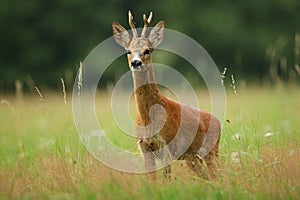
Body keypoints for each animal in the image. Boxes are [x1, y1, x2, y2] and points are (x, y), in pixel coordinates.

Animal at [112, 10, 220, 179]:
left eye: (147, 50)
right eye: (128, 51)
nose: (135, 62)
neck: (148, 120)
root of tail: (220, 123)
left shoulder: (167, 145)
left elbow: (167, 178)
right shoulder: (144, 147)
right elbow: (152, 179)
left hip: (212, 152)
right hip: (193, 158)